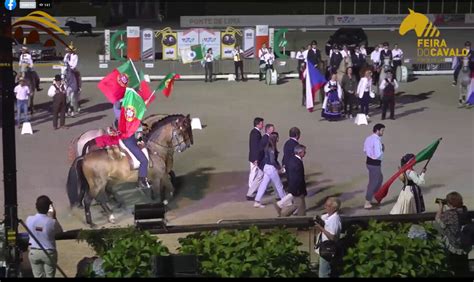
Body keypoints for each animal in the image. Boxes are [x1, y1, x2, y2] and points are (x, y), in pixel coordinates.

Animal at [65, 113, 193, 226]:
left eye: (188, 129)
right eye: (180, 131)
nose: (186, 146)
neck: (154, 149)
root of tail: (84, 157)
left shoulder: (163, 175)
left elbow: (170, 189)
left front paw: (165, 203)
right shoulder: (157, 178)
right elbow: (158, 194)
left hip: (108, 181)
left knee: (103, 195)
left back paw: (112, 213)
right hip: (97, 184)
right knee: (90, 200)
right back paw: (93, 222)